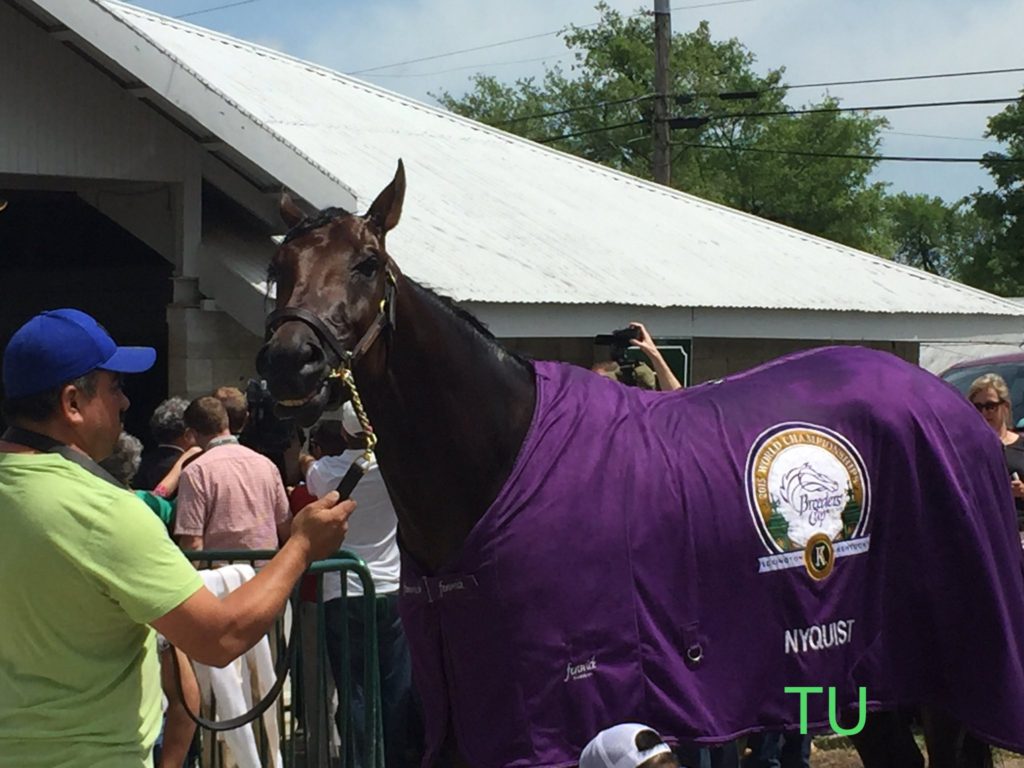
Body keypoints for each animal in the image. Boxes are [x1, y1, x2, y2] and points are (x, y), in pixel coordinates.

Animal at [256, 162, 1024, 768]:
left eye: (365, 264)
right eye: (278, 269)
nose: (291, 362)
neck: (502, 466)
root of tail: (958, 413)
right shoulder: (462, 719)